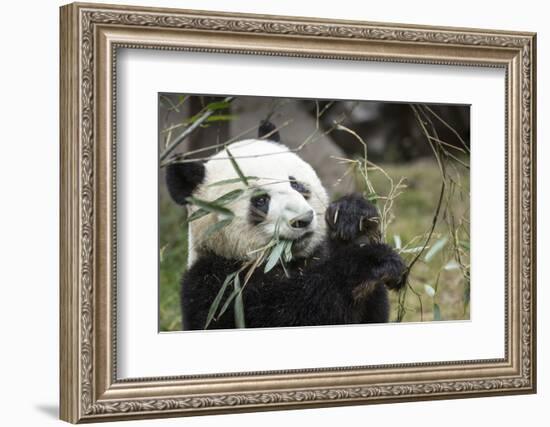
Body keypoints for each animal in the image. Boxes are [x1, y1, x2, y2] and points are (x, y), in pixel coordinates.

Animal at [166, 122, 408, 330]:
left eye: (296, 184)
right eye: (261, 200)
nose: (303, 219)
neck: (290, 262)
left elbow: (372, 314)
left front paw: (352, 218)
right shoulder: (218, 287)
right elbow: (296, 310)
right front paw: (371, 261)